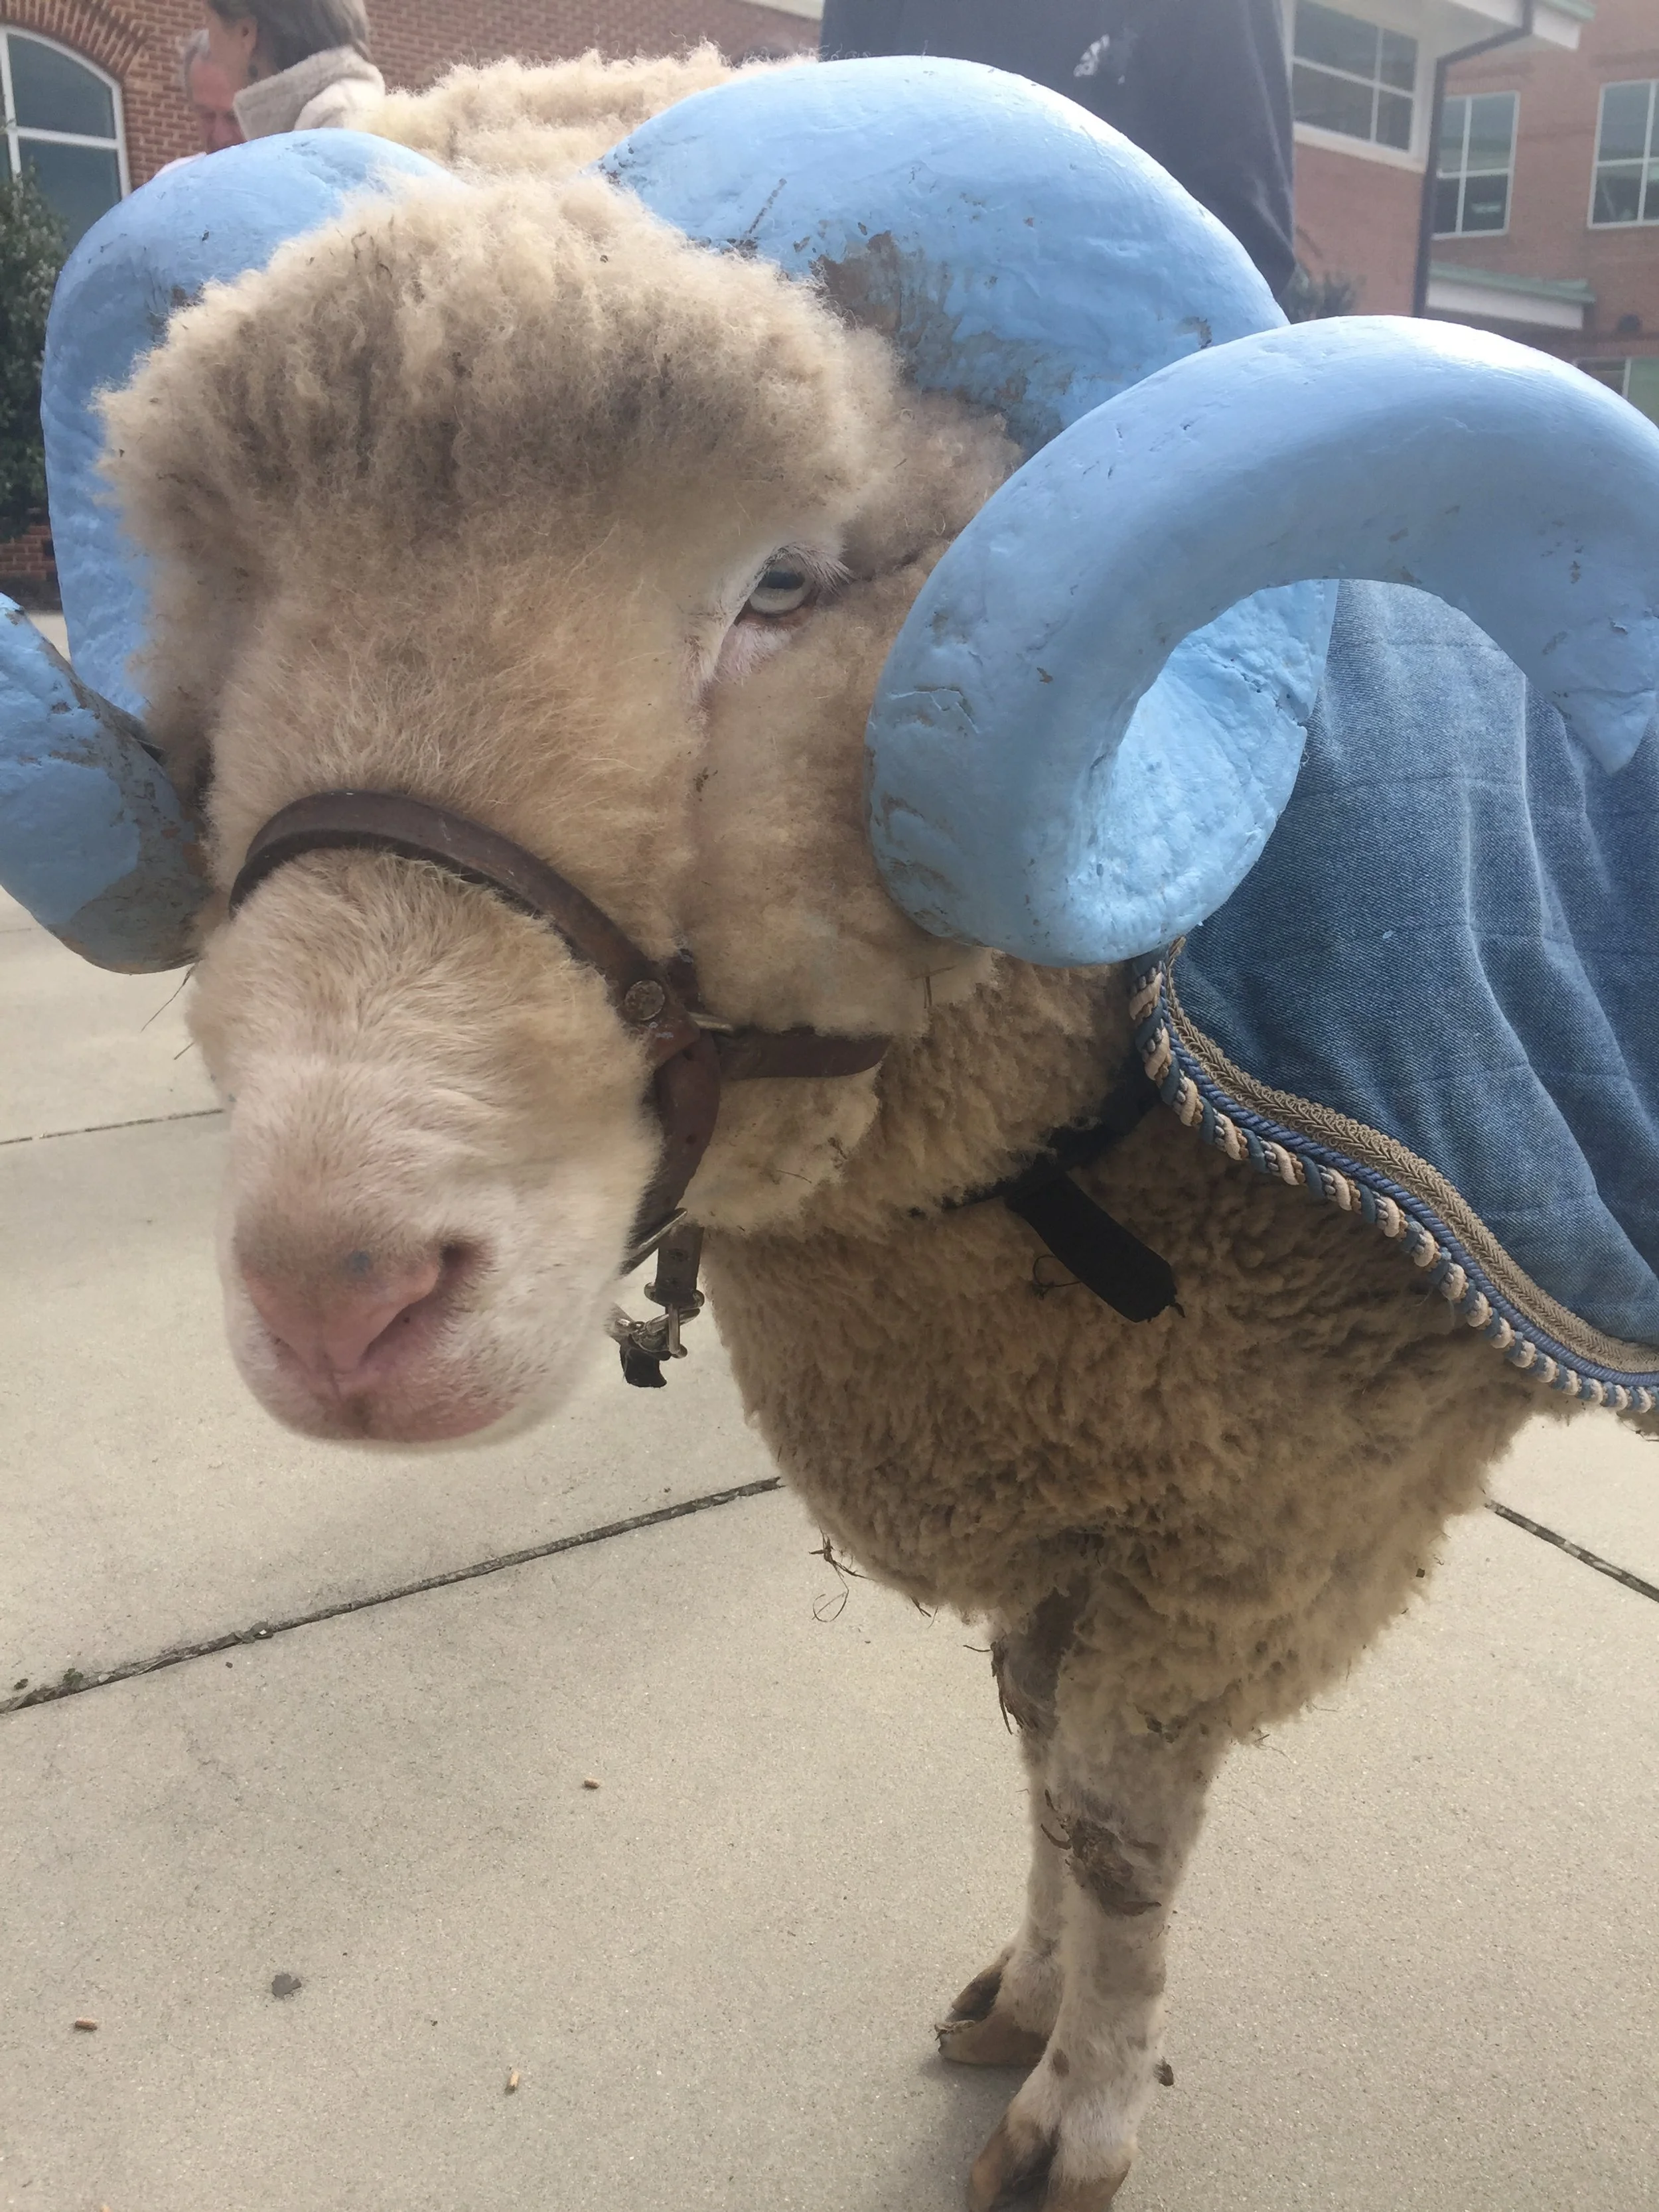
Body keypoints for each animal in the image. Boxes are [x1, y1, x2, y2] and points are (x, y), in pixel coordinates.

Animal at [5, 54, 1658, 2211]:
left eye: (786, 583)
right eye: (230, 600)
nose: (336, 1298)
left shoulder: (1270, 1515)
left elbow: (1118, 1825)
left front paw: (1080, 2118)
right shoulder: (1089, 1493)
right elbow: (1035, 1758)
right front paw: (1019, 2004)